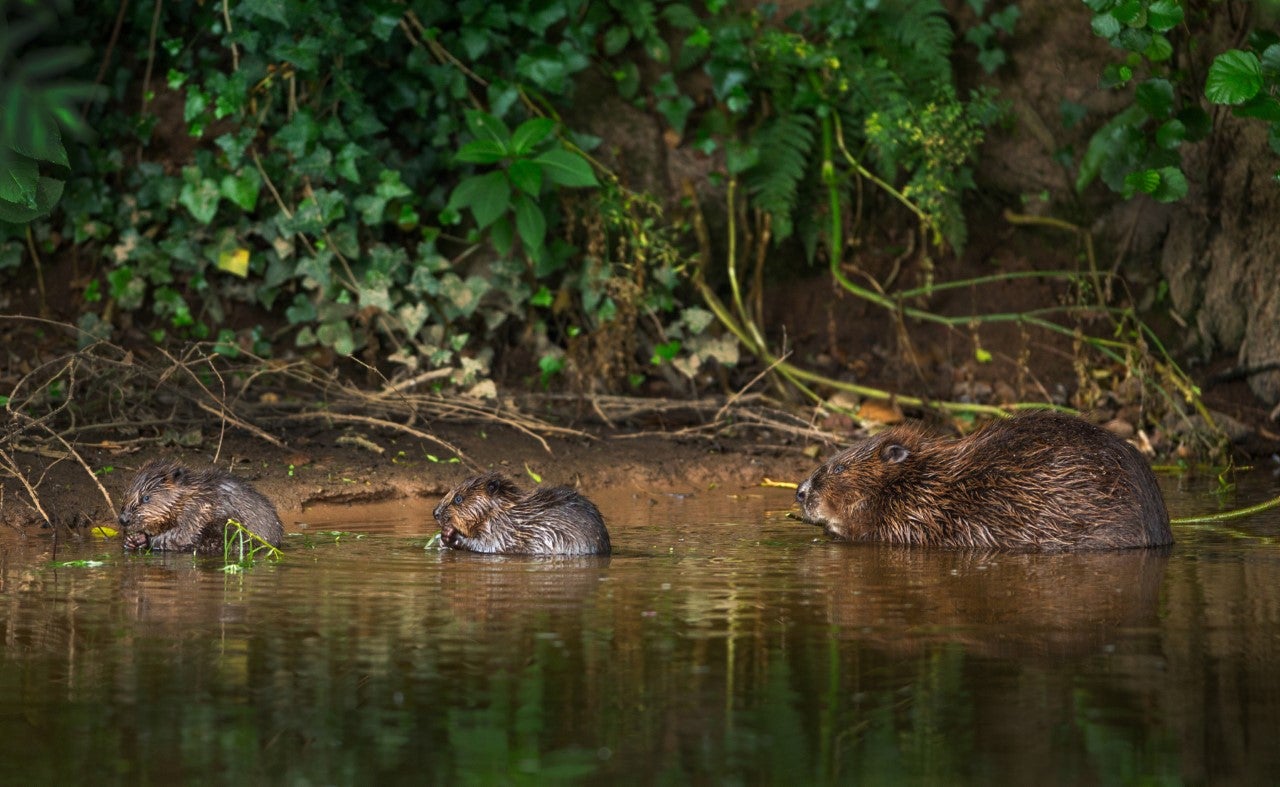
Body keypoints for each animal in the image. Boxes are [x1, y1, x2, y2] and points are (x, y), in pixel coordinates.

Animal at [117, 459, 284, 555]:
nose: (123, 519)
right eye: (126, 492)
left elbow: (183, 535)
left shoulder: (197, 510)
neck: (193, 494)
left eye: (146, 497)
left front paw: (141, 538)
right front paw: (129, 540)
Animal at [433, 472, 611, 556]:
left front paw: (449, 534)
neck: (506, 511)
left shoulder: (502, 529)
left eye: (458, 498)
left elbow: (488, 545)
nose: (435, 512)